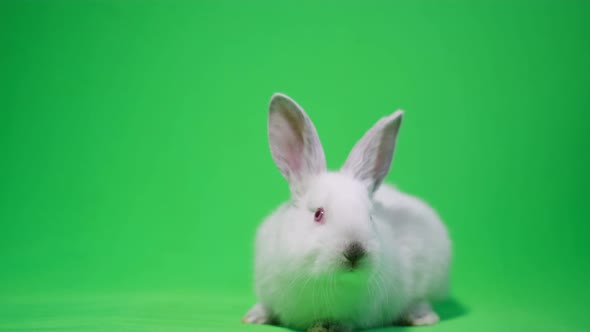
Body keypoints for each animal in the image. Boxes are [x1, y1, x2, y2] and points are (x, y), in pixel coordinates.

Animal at [245, 93, 454, 332]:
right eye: (318, 214)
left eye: (370, 216)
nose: (355, 252)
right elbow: (268, 306)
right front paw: (253, 317)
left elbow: (345, 322)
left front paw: (328, 326)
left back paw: (421, 317)